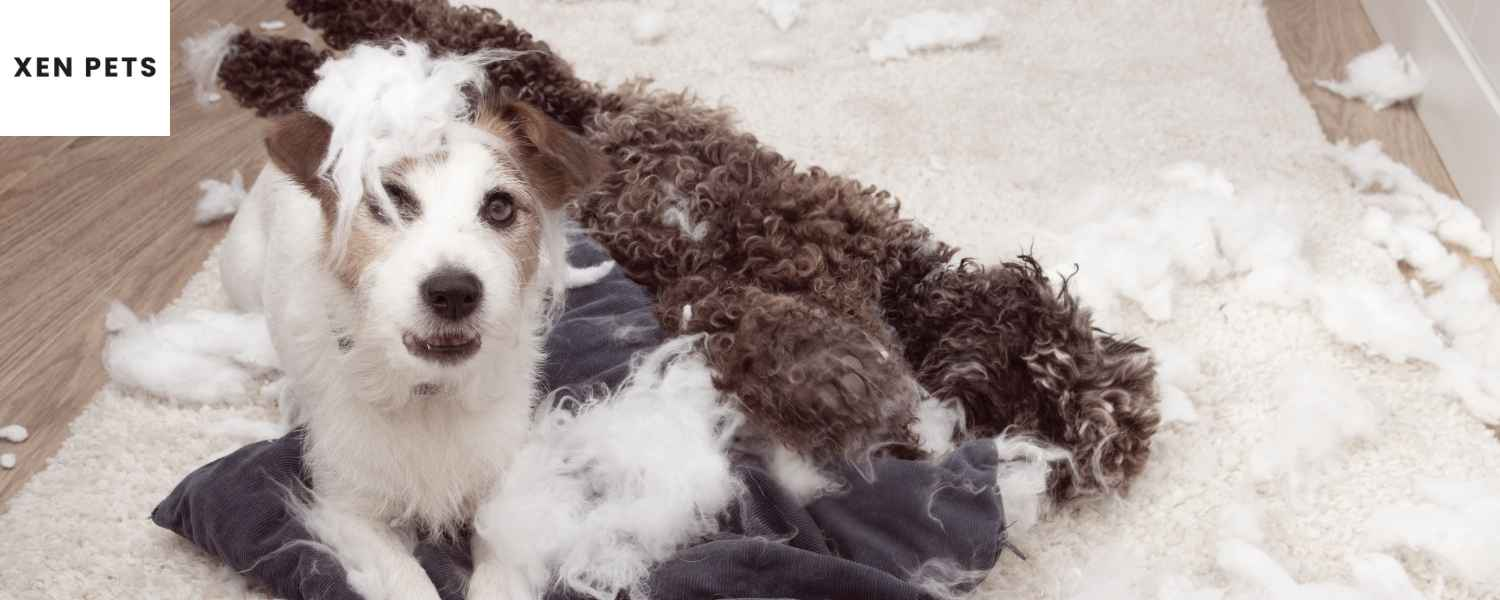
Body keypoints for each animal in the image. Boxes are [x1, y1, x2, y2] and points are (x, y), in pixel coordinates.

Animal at [208, 0, 1158, 498]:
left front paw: (850, 384)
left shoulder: (704, 285)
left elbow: (771, 327)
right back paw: (254, 55)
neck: (893, 282)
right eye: (1045, 402)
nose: (1055, 468)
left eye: (1052, 447)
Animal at [219, 43, 603, 600]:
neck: (430, 396)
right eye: (385, 202)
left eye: (500, 207)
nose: (454, 292)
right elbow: (406, 581)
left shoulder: (504, 496)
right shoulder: (350, 511)